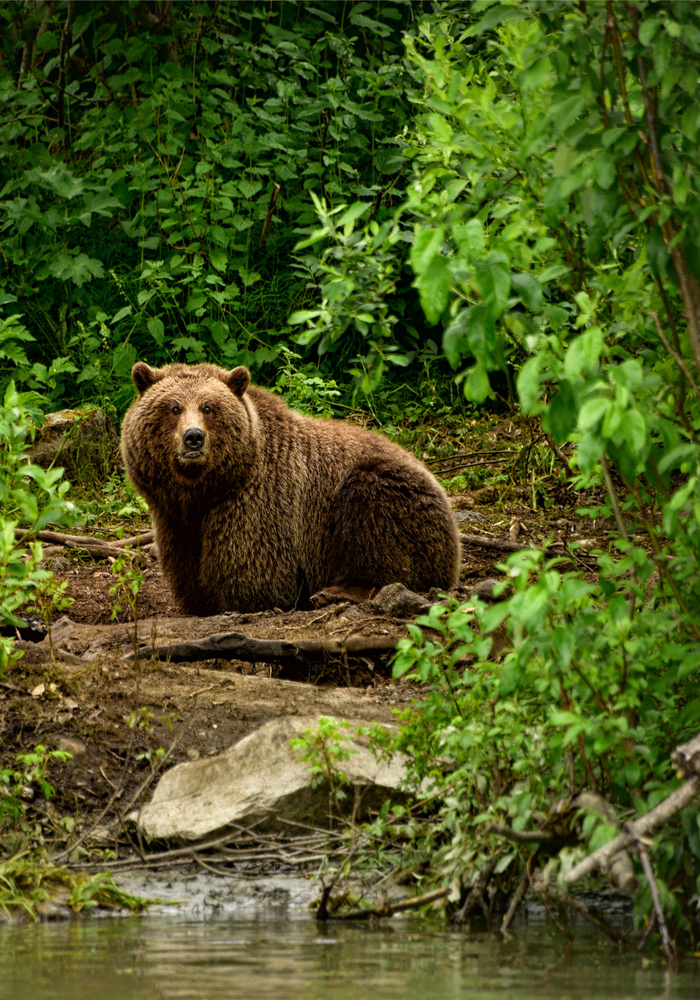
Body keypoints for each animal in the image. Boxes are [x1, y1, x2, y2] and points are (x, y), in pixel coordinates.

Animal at [121, 366, 460, 616]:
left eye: (208, 407)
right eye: (173, 407)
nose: (193, 437)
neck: (206, 489)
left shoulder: (259, 499)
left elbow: (255, 569)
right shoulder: (174, 516)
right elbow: (186, 566)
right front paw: (197, 600)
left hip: (392, 493)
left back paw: (335, 592)